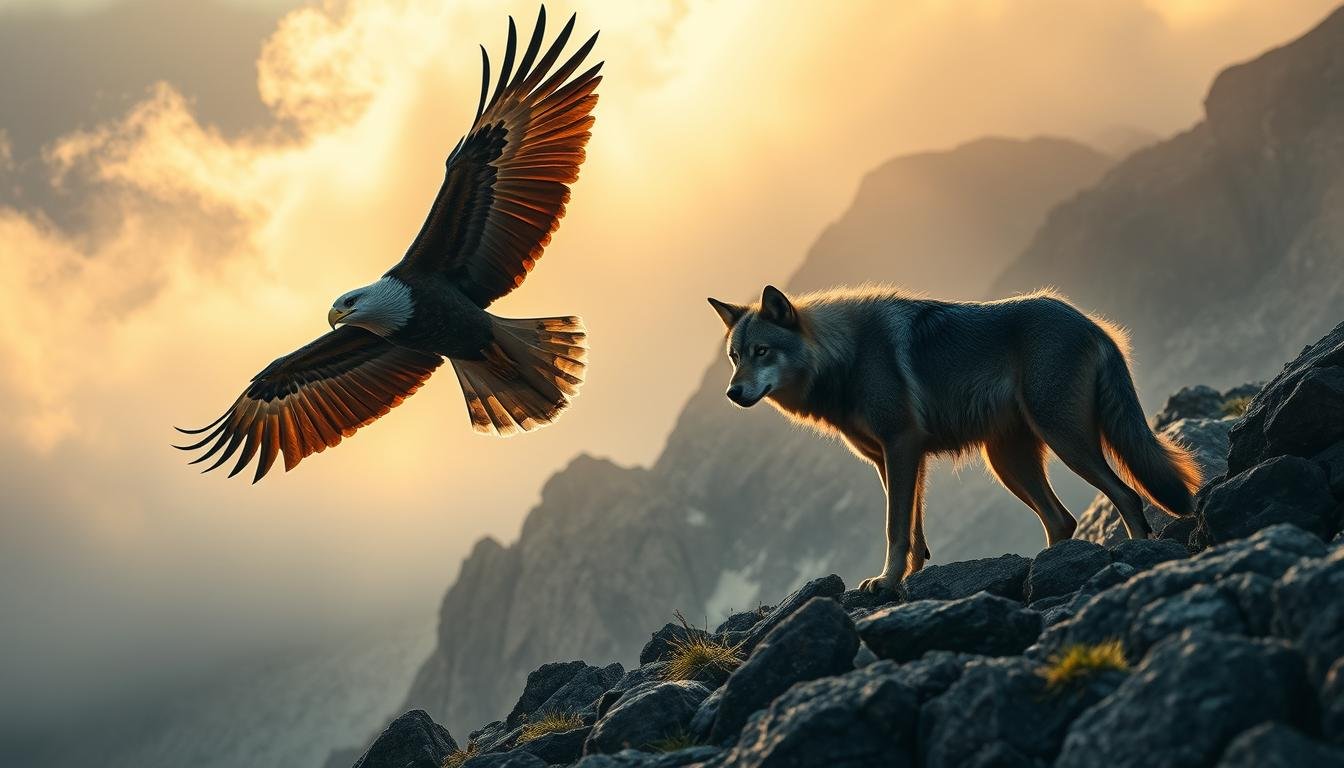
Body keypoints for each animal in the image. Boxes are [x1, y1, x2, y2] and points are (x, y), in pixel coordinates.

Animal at [707, 285, 1201, 593]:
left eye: (761, 352)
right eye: (734, 357)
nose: (732, 393)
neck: (844, 357)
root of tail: (1093, 323)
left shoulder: (901, 447)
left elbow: (895, 528)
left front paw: (886, 583)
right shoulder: (893, 460)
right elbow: (914, 532)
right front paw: (905, 580)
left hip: (1066, 442)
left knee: (1127, 495)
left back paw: (1136, 554)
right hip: (1008, 462)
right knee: (1062, 519)